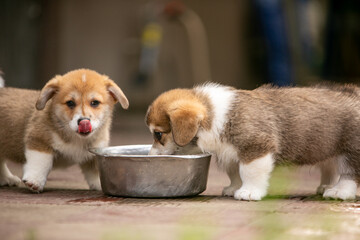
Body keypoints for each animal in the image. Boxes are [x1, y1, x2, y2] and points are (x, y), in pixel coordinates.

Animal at [0, 68, 129, 192]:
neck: (76, 138)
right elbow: (41, 162)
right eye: (70, 103)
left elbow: (96, 172)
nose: (83, 121)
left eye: (95, 103)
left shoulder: (94, 153)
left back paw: (7, 178)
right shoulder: (39, 140)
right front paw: (35, 181)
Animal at [146, 83, 360, 201]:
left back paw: (339, 191)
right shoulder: (231, 154)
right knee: (330, 166)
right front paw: (234, 188)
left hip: (350, 151)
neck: (216, 115)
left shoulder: (256, 149)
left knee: (349, 174)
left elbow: (249, 173)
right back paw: (326, 186)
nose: (149, 155)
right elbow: (234, 173)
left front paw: (248, 192)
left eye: (158, 134)